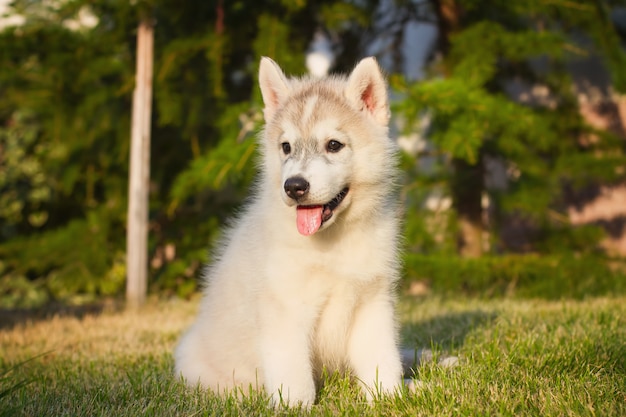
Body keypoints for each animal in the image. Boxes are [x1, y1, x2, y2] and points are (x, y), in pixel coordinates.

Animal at [173, 57, 402, 404]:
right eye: (286, 147)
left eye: (334, 145)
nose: (294, 186)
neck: (333, 243)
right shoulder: (285, 311)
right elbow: (294, 375)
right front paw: (295, 405)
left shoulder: (372, 302)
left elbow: (383, 360)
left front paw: (391, 397)